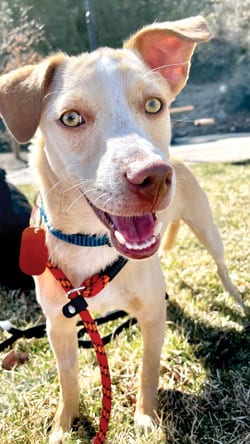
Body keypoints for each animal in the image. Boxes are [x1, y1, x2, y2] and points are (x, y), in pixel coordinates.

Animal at [0, 15, 240, 442]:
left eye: (153, 105)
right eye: (71, 118)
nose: (155, 177)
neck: (89, 243)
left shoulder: (151, 316)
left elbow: (148, 372)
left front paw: (145, 418)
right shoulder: (58, 327)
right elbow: (68, 382)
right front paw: (63, 426)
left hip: (208, 231)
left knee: (221, 268)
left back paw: (238, 302)